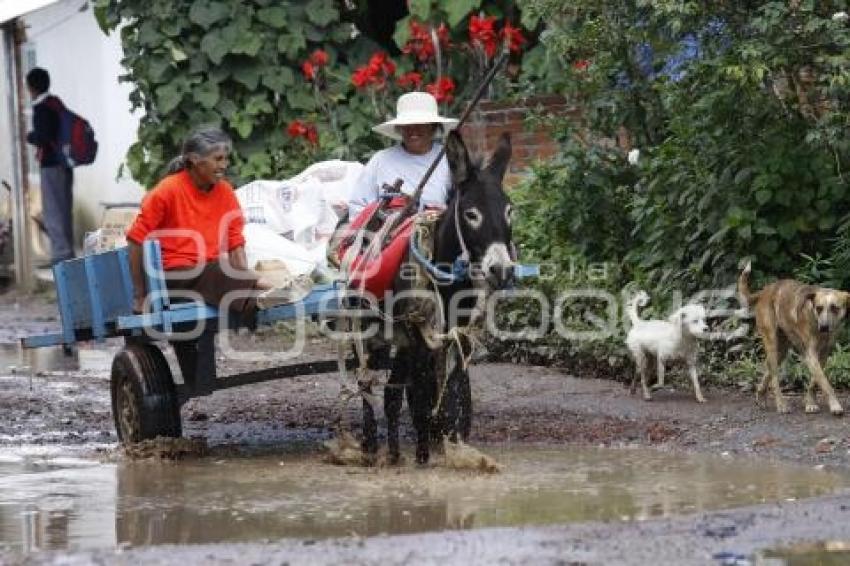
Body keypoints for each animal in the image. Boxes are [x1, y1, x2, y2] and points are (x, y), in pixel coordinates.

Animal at [736, 262, 848, 418]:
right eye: (819, 308)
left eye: (834, 308)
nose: (824, 327)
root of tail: (764, 291)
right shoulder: (810, 354)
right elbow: (825, 382)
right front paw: (835, 405)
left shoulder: (824, 353)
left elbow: (815, 381)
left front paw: (810, 403)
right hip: (772, 342)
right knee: (774, 378)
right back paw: (781, 404)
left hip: (782, 350)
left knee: (767, 370)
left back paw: (761, 396)